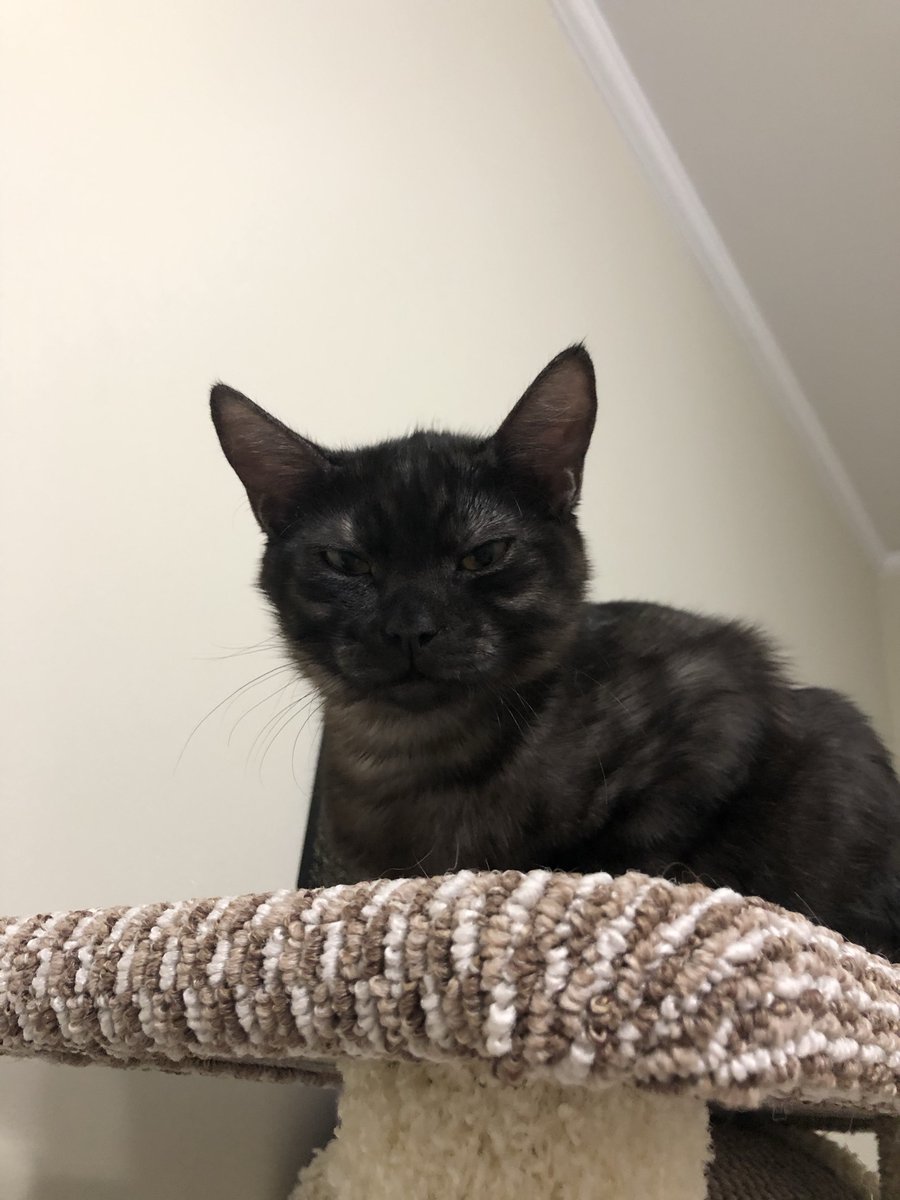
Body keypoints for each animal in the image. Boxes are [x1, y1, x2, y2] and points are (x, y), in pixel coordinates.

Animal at [210, 346, 900, 958]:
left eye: (484, 555)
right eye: (346, 562)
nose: (410, 628)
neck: (415, 756)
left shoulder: (720, 699)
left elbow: (623, 845)